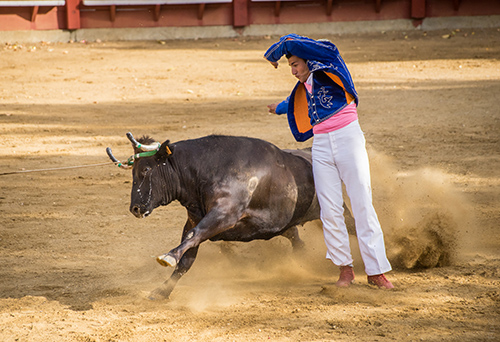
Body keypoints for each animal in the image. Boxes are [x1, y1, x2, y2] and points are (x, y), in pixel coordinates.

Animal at [107, 132, 354, 298]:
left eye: (146, 169)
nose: (135, 208)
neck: (206, 170)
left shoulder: (224, 214)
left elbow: (193, 237)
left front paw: (168, 257)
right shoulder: (194, 219)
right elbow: (187, 256)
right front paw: (162, 291)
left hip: (335, 210)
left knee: (349, 227)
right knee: (294, 236)